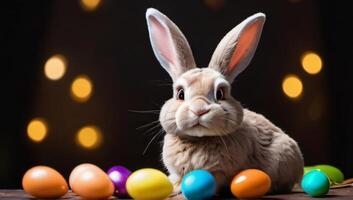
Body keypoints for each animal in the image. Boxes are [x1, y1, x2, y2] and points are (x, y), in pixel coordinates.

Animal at [146, 8, 302, 195]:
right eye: (180, 94)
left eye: (220, 93)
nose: (199, 110)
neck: (199, 140)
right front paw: (174, 189)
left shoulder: (219, 173)